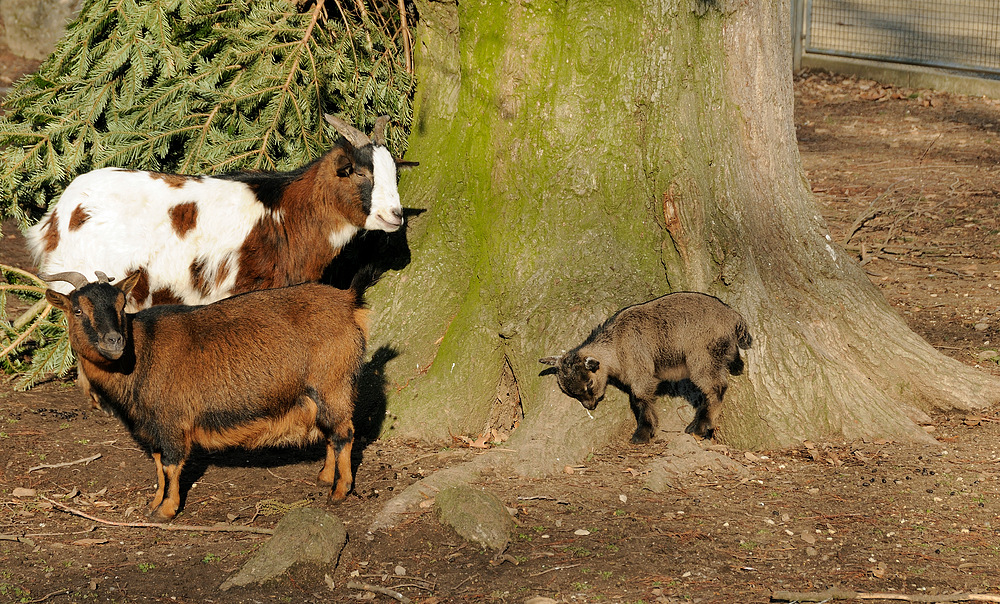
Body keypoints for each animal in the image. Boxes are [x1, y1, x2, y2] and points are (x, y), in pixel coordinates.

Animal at [44, 272, 372, 520]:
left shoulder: (171, 421)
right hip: (321, 392)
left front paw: (166, 510)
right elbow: (158, 464)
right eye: (77, 310)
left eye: (121, 305)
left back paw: (339, 491)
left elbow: (171, 464)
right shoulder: (153, 426)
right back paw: (325, 477)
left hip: (332, 383)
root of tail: (347, 300)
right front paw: (154, 503)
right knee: (331, 431)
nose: (114, 340)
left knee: (344, 432)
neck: (142, 353)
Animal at [540, 294, 752, 444]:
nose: (590, 406)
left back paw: (699, 428)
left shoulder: (640, 371)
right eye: (570, 392)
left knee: (716, 388)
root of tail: (734, 318)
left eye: (589, 384)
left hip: (703, 356)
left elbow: (640, 399)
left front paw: (642, 434)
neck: (616, 344)